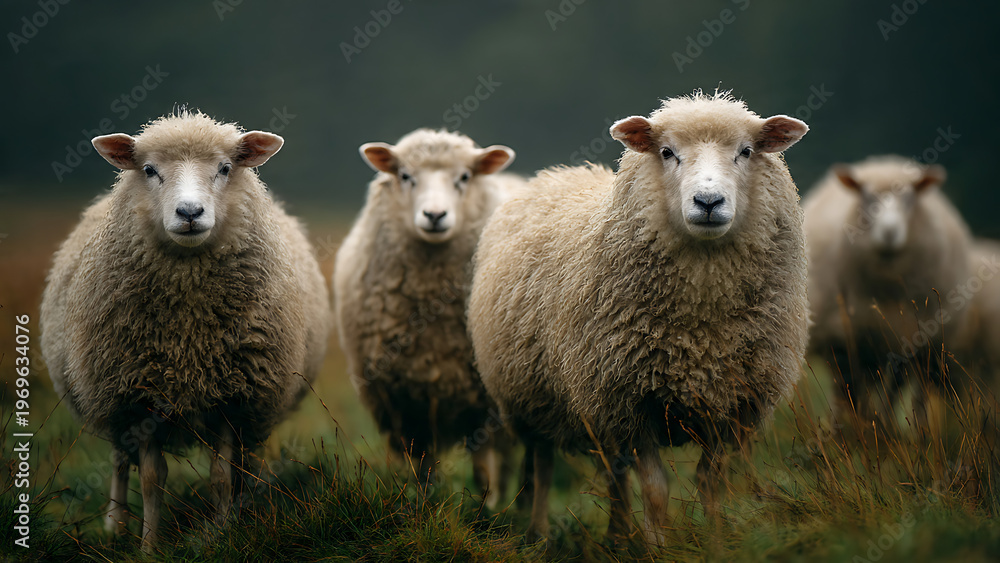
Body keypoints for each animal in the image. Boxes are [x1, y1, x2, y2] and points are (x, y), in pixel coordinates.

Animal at [39, 110, 331, 552]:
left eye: (225, 168)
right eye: (149, 170)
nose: (190, 212)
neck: (188, 338)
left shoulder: (234, 395)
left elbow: (221, 476)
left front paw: (225, 535)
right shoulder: (139, 396)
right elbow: (151, 479)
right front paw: (148, 547)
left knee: (244, 464)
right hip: (108, 398)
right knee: (119, 462)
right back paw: (115, 525)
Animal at [333, 128, 524, 508]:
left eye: (464, 177)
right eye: (406, 176)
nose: (434, 215)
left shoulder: (484, 402)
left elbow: (483, 469)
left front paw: (485, 510)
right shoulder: (406, 402)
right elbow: (424, 469)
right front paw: (423, 506)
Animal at [467, 91, 810, 543]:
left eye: (746, 151)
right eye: (667, 152)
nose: (708, 202)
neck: (701, 331)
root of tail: (554, 175)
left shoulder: (729, 404)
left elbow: (711, 481)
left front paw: (716, 541)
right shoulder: (630, 403)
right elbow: (657, 489)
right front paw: (658, 546)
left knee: (614, 476)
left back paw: (617, 537)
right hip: (535, 396)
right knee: (542, 467)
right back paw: (540, 534)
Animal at [802, 156, 972, 429]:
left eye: (910, 198)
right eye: (866, 197)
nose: (890, 231)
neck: (887, 292)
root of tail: (883, 162)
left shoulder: (916, 342)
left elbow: (898, 393)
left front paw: (895, 428)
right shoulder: (842, 340)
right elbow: (848, 389)